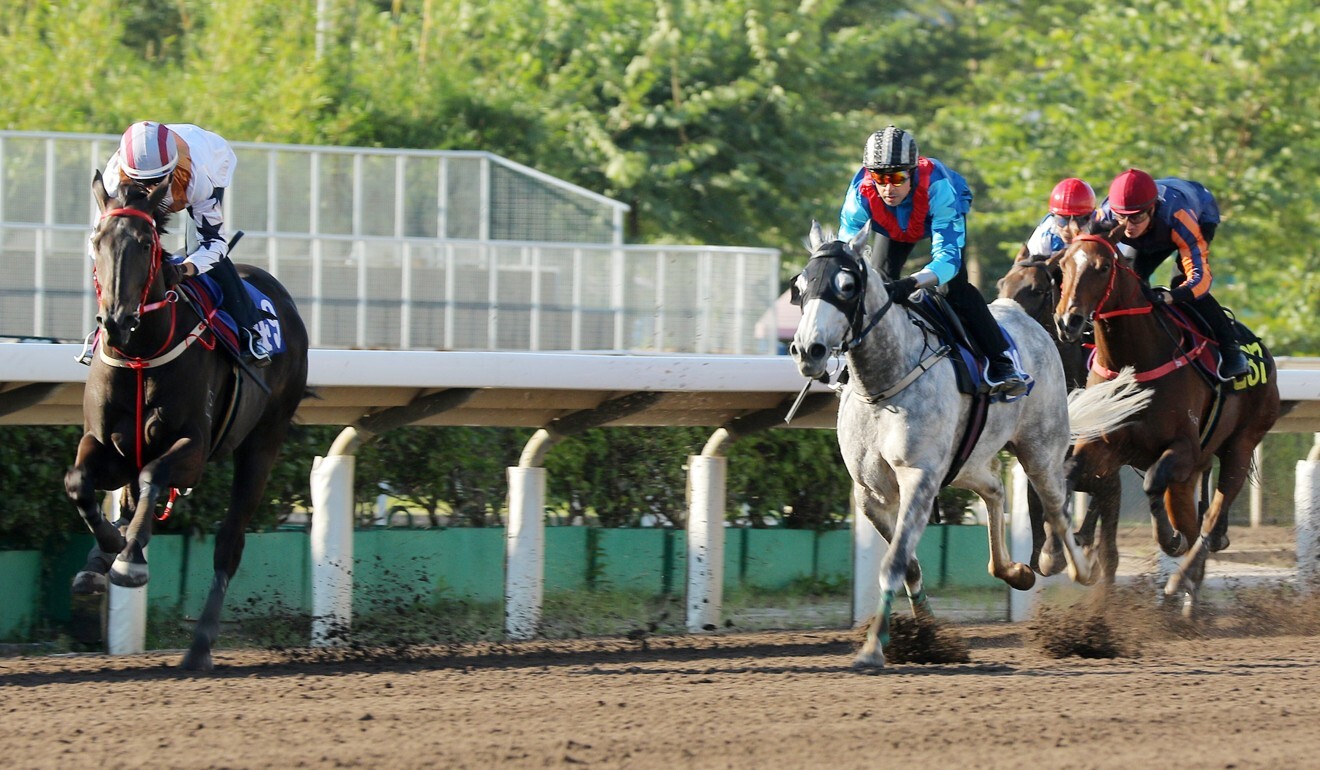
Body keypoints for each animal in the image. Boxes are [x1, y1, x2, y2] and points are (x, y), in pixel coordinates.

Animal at [68, 173, 311, 668]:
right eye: (97, 240)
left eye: (145, 244)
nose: (116, 322)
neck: (141, 356)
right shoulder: (105, 444)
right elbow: (80, 482)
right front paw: (106, 551)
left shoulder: (194, 449)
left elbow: (154, 475)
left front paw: (128, 560)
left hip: (264, 441)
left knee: (230, 542)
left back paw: (199, 646)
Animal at [1050, 224, 1277, 615]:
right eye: (1063, 265)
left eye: (1103, 267)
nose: (1068, 321)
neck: (1135, 361)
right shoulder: (1105, 446)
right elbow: (1069, 476)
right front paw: (1056, 553)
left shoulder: (1183, 448)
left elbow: (1152, 482)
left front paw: (1169, 540)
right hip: (1194, 471)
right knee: (1195, 521)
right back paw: (1187, 600)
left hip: (1241, 444)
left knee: (1211, 518)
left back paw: (1179, 580)